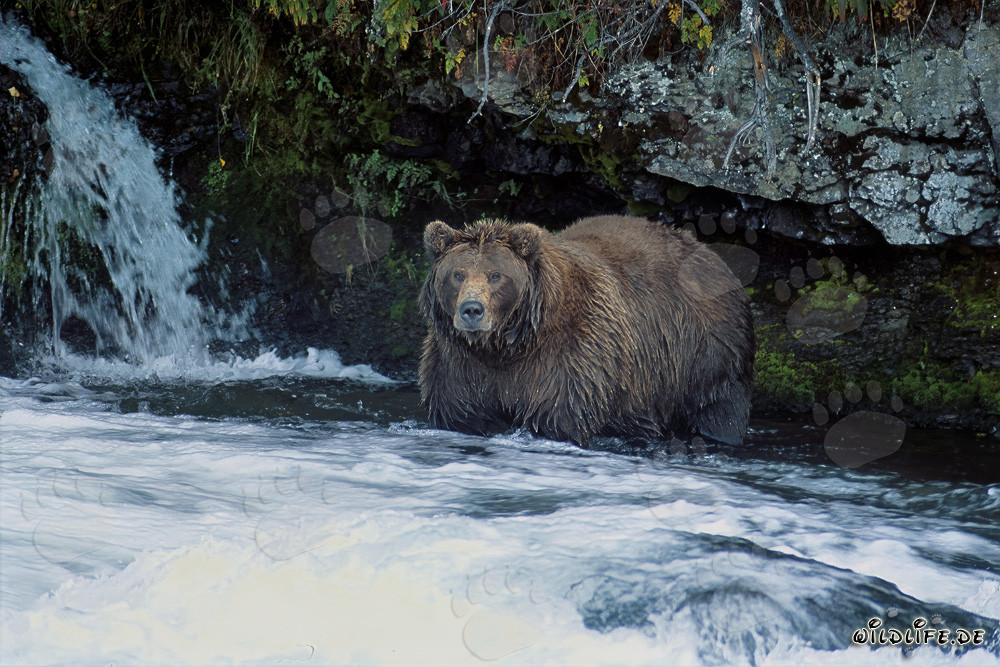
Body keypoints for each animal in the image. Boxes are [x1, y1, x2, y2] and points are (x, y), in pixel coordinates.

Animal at [418, 215, 755, 447]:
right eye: (457, 274)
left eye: (496, 275)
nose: (472, 309)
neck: (509, 345)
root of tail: (710, 254)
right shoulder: (461, 365)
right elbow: (462, 410)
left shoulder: (573, 356)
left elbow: (560, 415)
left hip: (707, 356)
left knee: (721, 409)